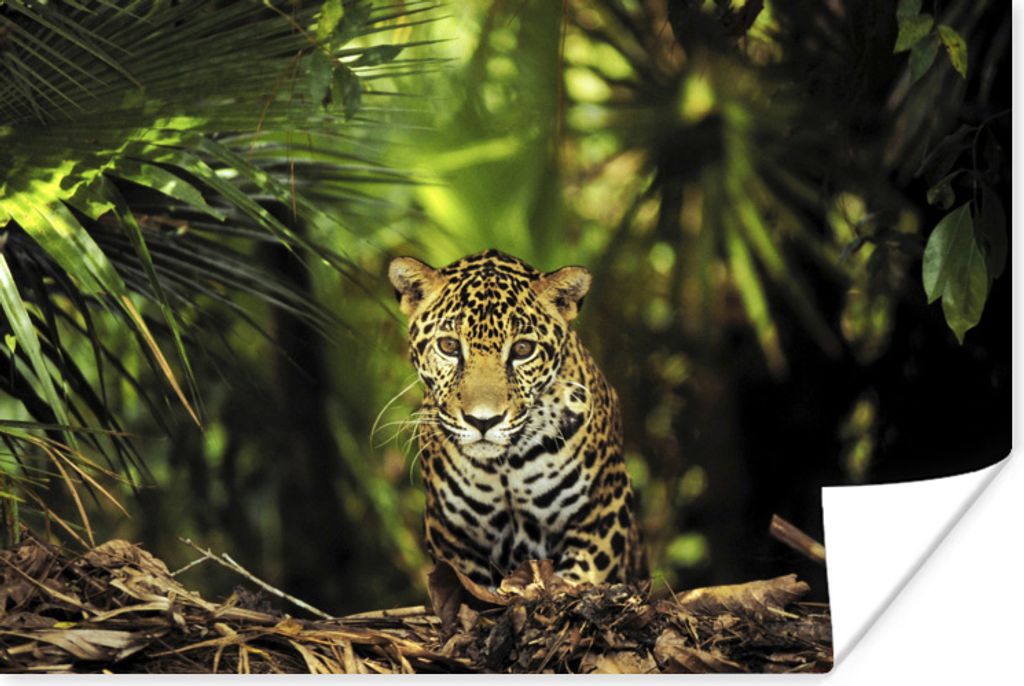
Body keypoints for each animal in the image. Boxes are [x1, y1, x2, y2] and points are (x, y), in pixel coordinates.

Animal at [388, 249, 647, 587]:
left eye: (523, 349)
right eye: (449, 346)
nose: (483, 421)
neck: (505, 467)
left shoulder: (605, 509)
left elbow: (580, 577)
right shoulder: (451, 534)